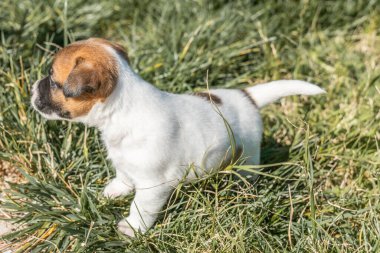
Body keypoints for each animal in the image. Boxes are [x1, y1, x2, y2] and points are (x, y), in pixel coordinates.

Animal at [31, 38, 326, 237]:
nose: (32, 87)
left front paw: (131, 229)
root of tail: (247, 96)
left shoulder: (153, 186)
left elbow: (140, 207)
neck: (122, 110)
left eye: (53, 81)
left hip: (248, 153)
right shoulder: (126, 163)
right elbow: (124, 176)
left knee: (248, 169)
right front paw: (115, 190)